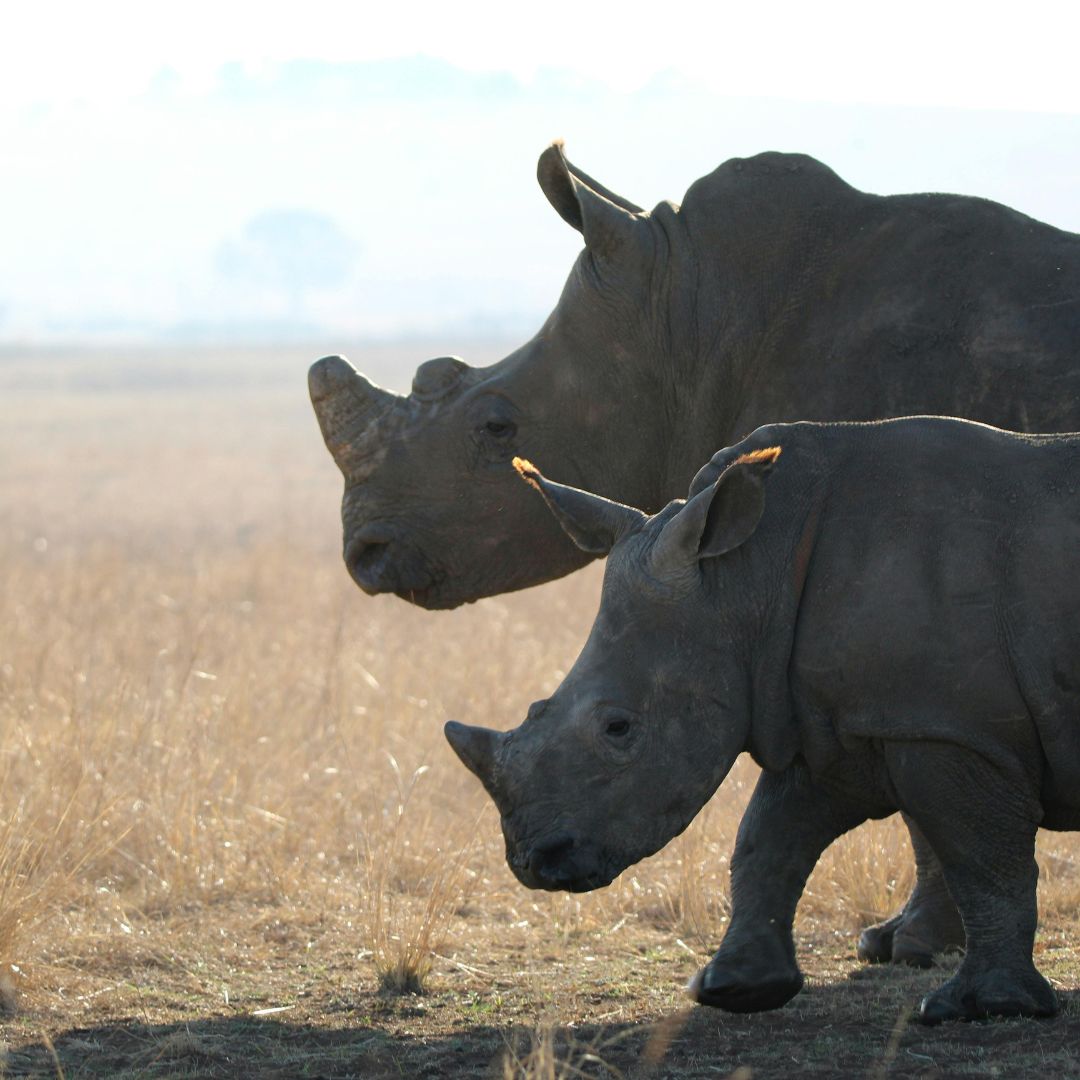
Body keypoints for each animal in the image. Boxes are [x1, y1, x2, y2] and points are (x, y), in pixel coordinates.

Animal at [444, 418, 1080, 1023]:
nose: (533, 862)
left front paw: (984, 1007)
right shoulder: (838, 722)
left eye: (618, 729)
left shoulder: (949, 727)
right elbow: (769, 836)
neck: (745, 581)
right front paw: (732, 989)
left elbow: (982, 860)